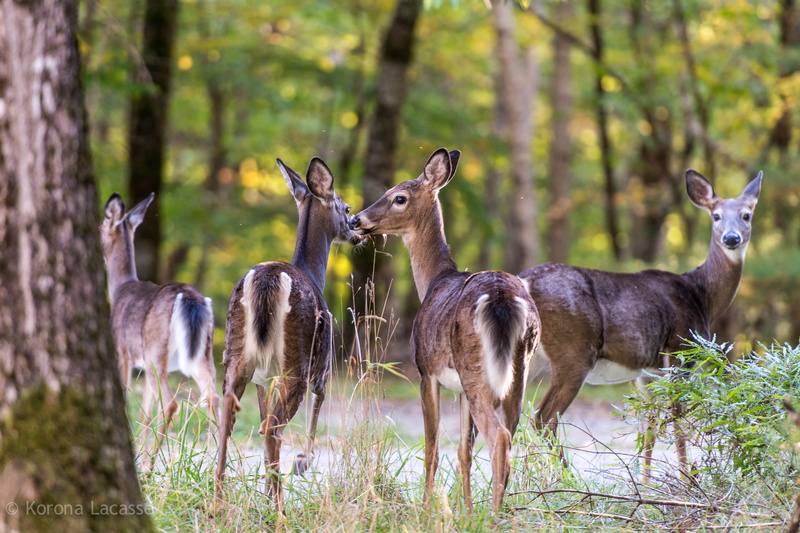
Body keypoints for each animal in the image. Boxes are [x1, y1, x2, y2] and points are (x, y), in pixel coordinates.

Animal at [100, 192, 220, 471]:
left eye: (100, 225)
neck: (120, 289)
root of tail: (189, 297)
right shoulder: (143, 365)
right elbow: (145, 414)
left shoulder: (123, 352)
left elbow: (127, 401)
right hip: (202, 354)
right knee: (216, 398)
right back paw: (216, 470)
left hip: (157, 351)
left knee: (172, 403)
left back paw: (151, 469)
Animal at [213, 157, 362, 515]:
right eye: (346, 207)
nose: (357, 230)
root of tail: (267, 279)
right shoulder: (323, 368)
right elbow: (316, 412)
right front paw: (302, 463)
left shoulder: (264, 379)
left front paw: (268, 489)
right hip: (298, 359)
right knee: (274, 427)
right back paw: (280, 510)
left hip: (236, 356)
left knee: (230, 419)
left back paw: (219, 502)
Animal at [349, 148, 540, 512]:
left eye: (399, 197)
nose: (356, 220)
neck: (434, 281)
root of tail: (503, 298)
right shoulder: (461, 390)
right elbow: (464, 452)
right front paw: (466, 511)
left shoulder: (426, 371)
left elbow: (432, 449)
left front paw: (426, 510)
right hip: (518, 371)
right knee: (509, 436)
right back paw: (499, 511)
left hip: (474, 366)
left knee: (499, 437)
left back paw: (494, 516)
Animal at [519, 169, 762, 480]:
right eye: (716, 215)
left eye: (747, 215)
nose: (732, 238)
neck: (701, 296)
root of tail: (525, 280)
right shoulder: (680, 350)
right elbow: (677, 419)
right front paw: (685, 479)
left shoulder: (647, 372)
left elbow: (650, 425)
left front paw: (645, 481)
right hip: (574, 350)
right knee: (543, 418)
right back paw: (569, 480)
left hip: (531, 357)